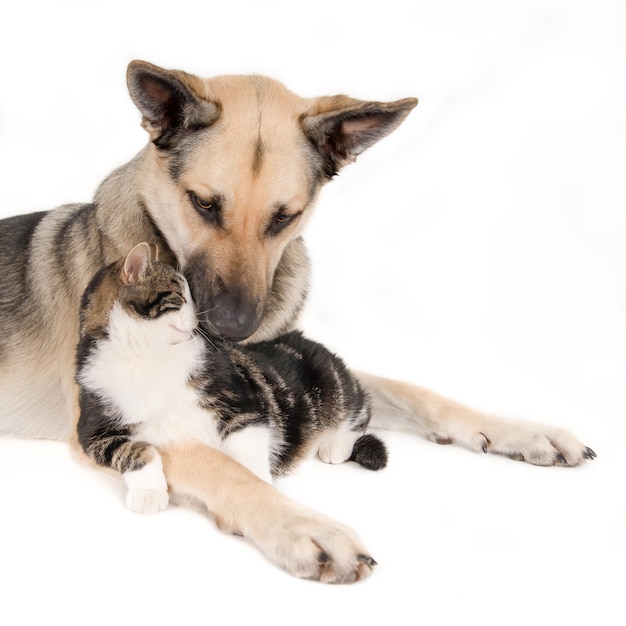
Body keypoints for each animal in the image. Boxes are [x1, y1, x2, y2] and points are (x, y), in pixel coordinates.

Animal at [73, 241, 386, 510]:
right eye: (180, 296)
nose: (200, 318)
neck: (147, 354)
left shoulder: (241, 402)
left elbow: (248, 445)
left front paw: (259, 486)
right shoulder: (94, 430)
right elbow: (136, 451)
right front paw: (149, 492)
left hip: (332, 384)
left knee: (361, 407)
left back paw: (336, 444)